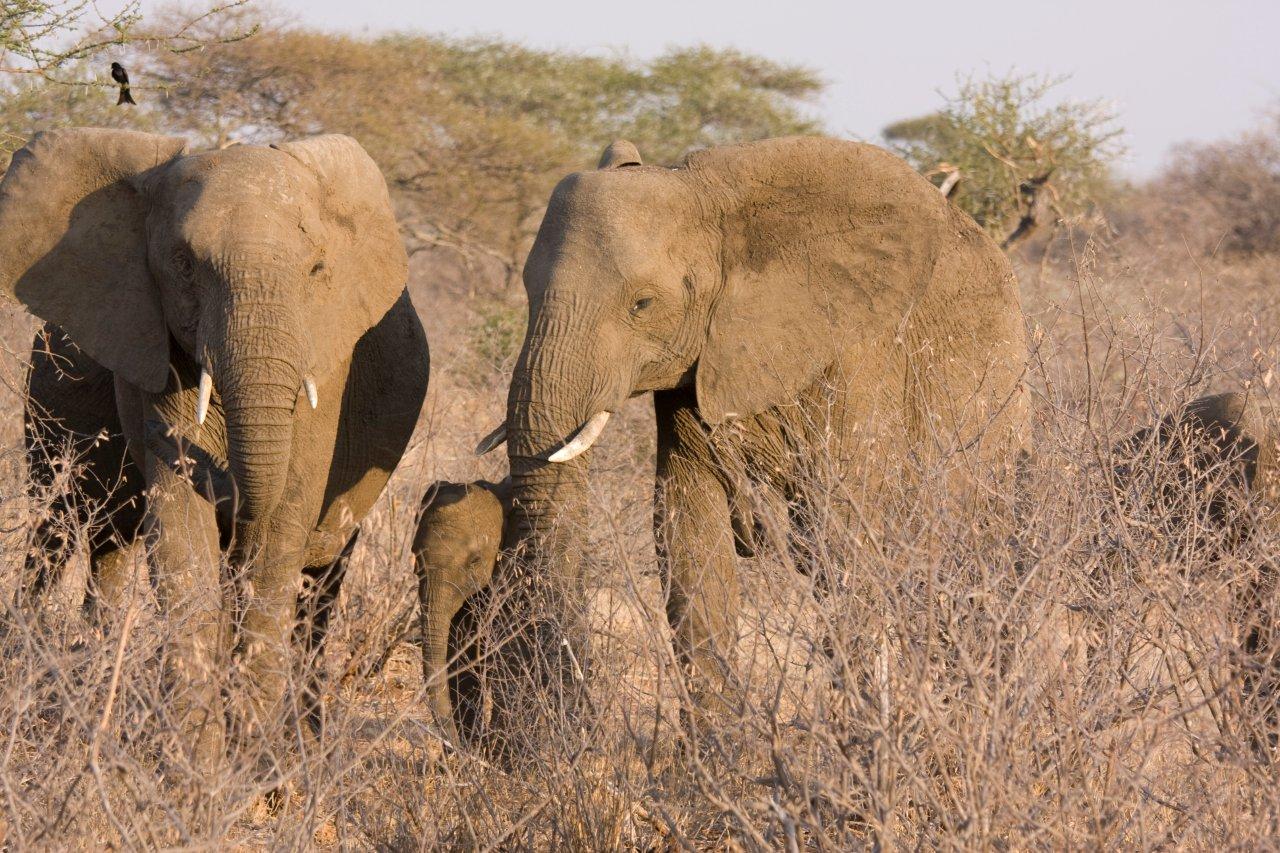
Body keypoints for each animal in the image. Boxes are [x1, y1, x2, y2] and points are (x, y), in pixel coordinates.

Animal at [0, 128, 432, 763]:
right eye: (183, 265)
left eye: (316, 268)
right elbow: (182, 535)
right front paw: (194, 766)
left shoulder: (328, 365)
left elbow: (281, 532)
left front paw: (254, 767)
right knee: (61, 523)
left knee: (316, 581)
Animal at [481, 136, 1029, 722]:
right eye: (527, 292)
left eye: (642, 304)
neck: (706, 201)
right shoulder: (696, 369)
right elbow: (688, 536)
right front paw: (717, 743)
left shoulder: (864, 350)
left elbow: (847, 528)